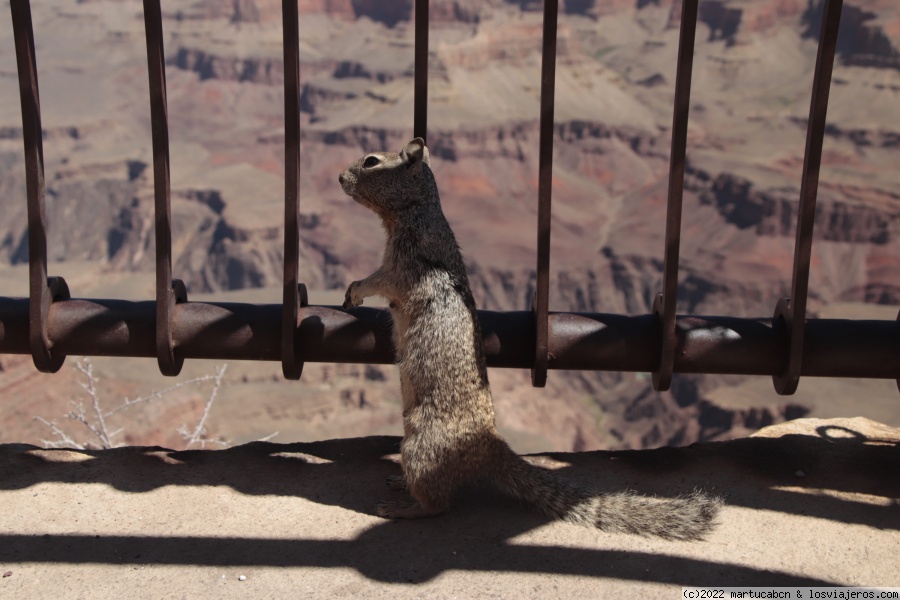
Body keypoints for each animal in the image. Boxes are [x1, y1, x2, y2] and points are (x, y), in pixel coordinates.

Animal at [340, 138, 724, 540]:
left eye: (371, 162)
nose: (339, 177)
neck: (416, 210)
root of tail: (489, 445)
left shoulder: (404, 264)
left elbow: (381, 280)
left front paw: (355, 290)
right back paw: (400, 484)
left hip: (420, 447)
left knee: (439, 504)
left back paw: (403, 507)